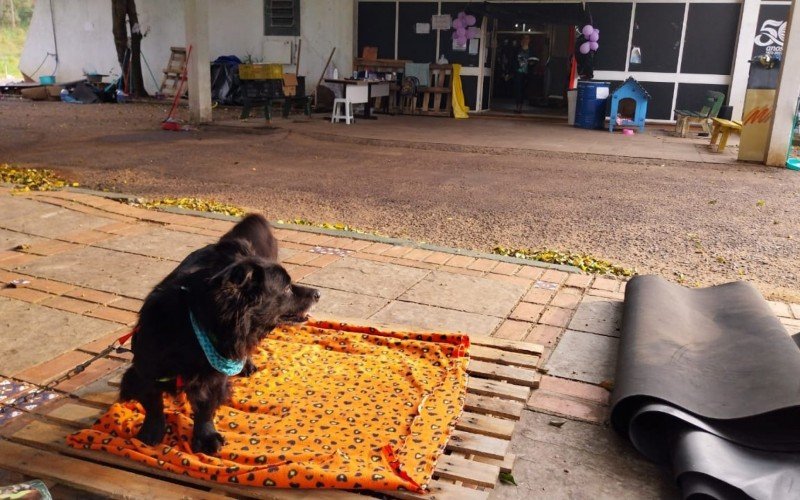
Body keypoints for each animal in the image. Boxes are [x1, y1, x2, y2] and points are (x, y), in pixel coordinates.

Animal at [119, 213, 318, 456]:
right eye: (287, 288)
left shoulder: (214, 377)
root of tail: (230, 244)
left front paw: (206, 437)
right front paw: (152, 431)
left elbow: (206, 407)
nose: (317, 293)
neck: (194, 328)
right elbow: (153, 403)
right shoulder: (146, 370)